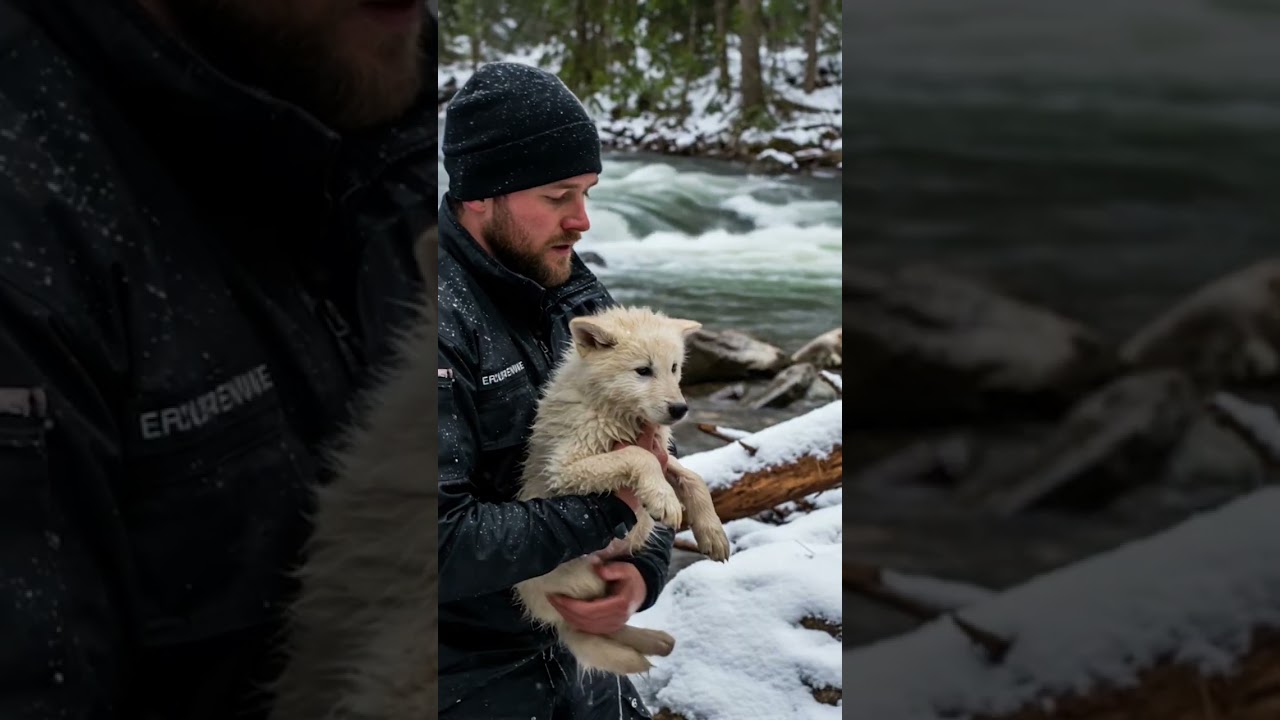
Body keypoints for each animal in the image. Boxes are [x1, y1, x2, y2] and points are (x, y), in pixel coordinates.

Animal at [514, 305, 732, 677]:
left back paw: (657, 641)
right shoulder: (566, 469)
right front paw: (663, 500)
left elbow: (693, 478)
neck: (615, 411)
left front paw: (712, 533)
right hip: (583, 581)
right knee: (586, 627)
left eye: (674, 368)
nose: (680, 409)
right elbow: (637, 456)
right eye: (643, 370)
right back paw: (650, 644)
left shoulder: (663, 451)